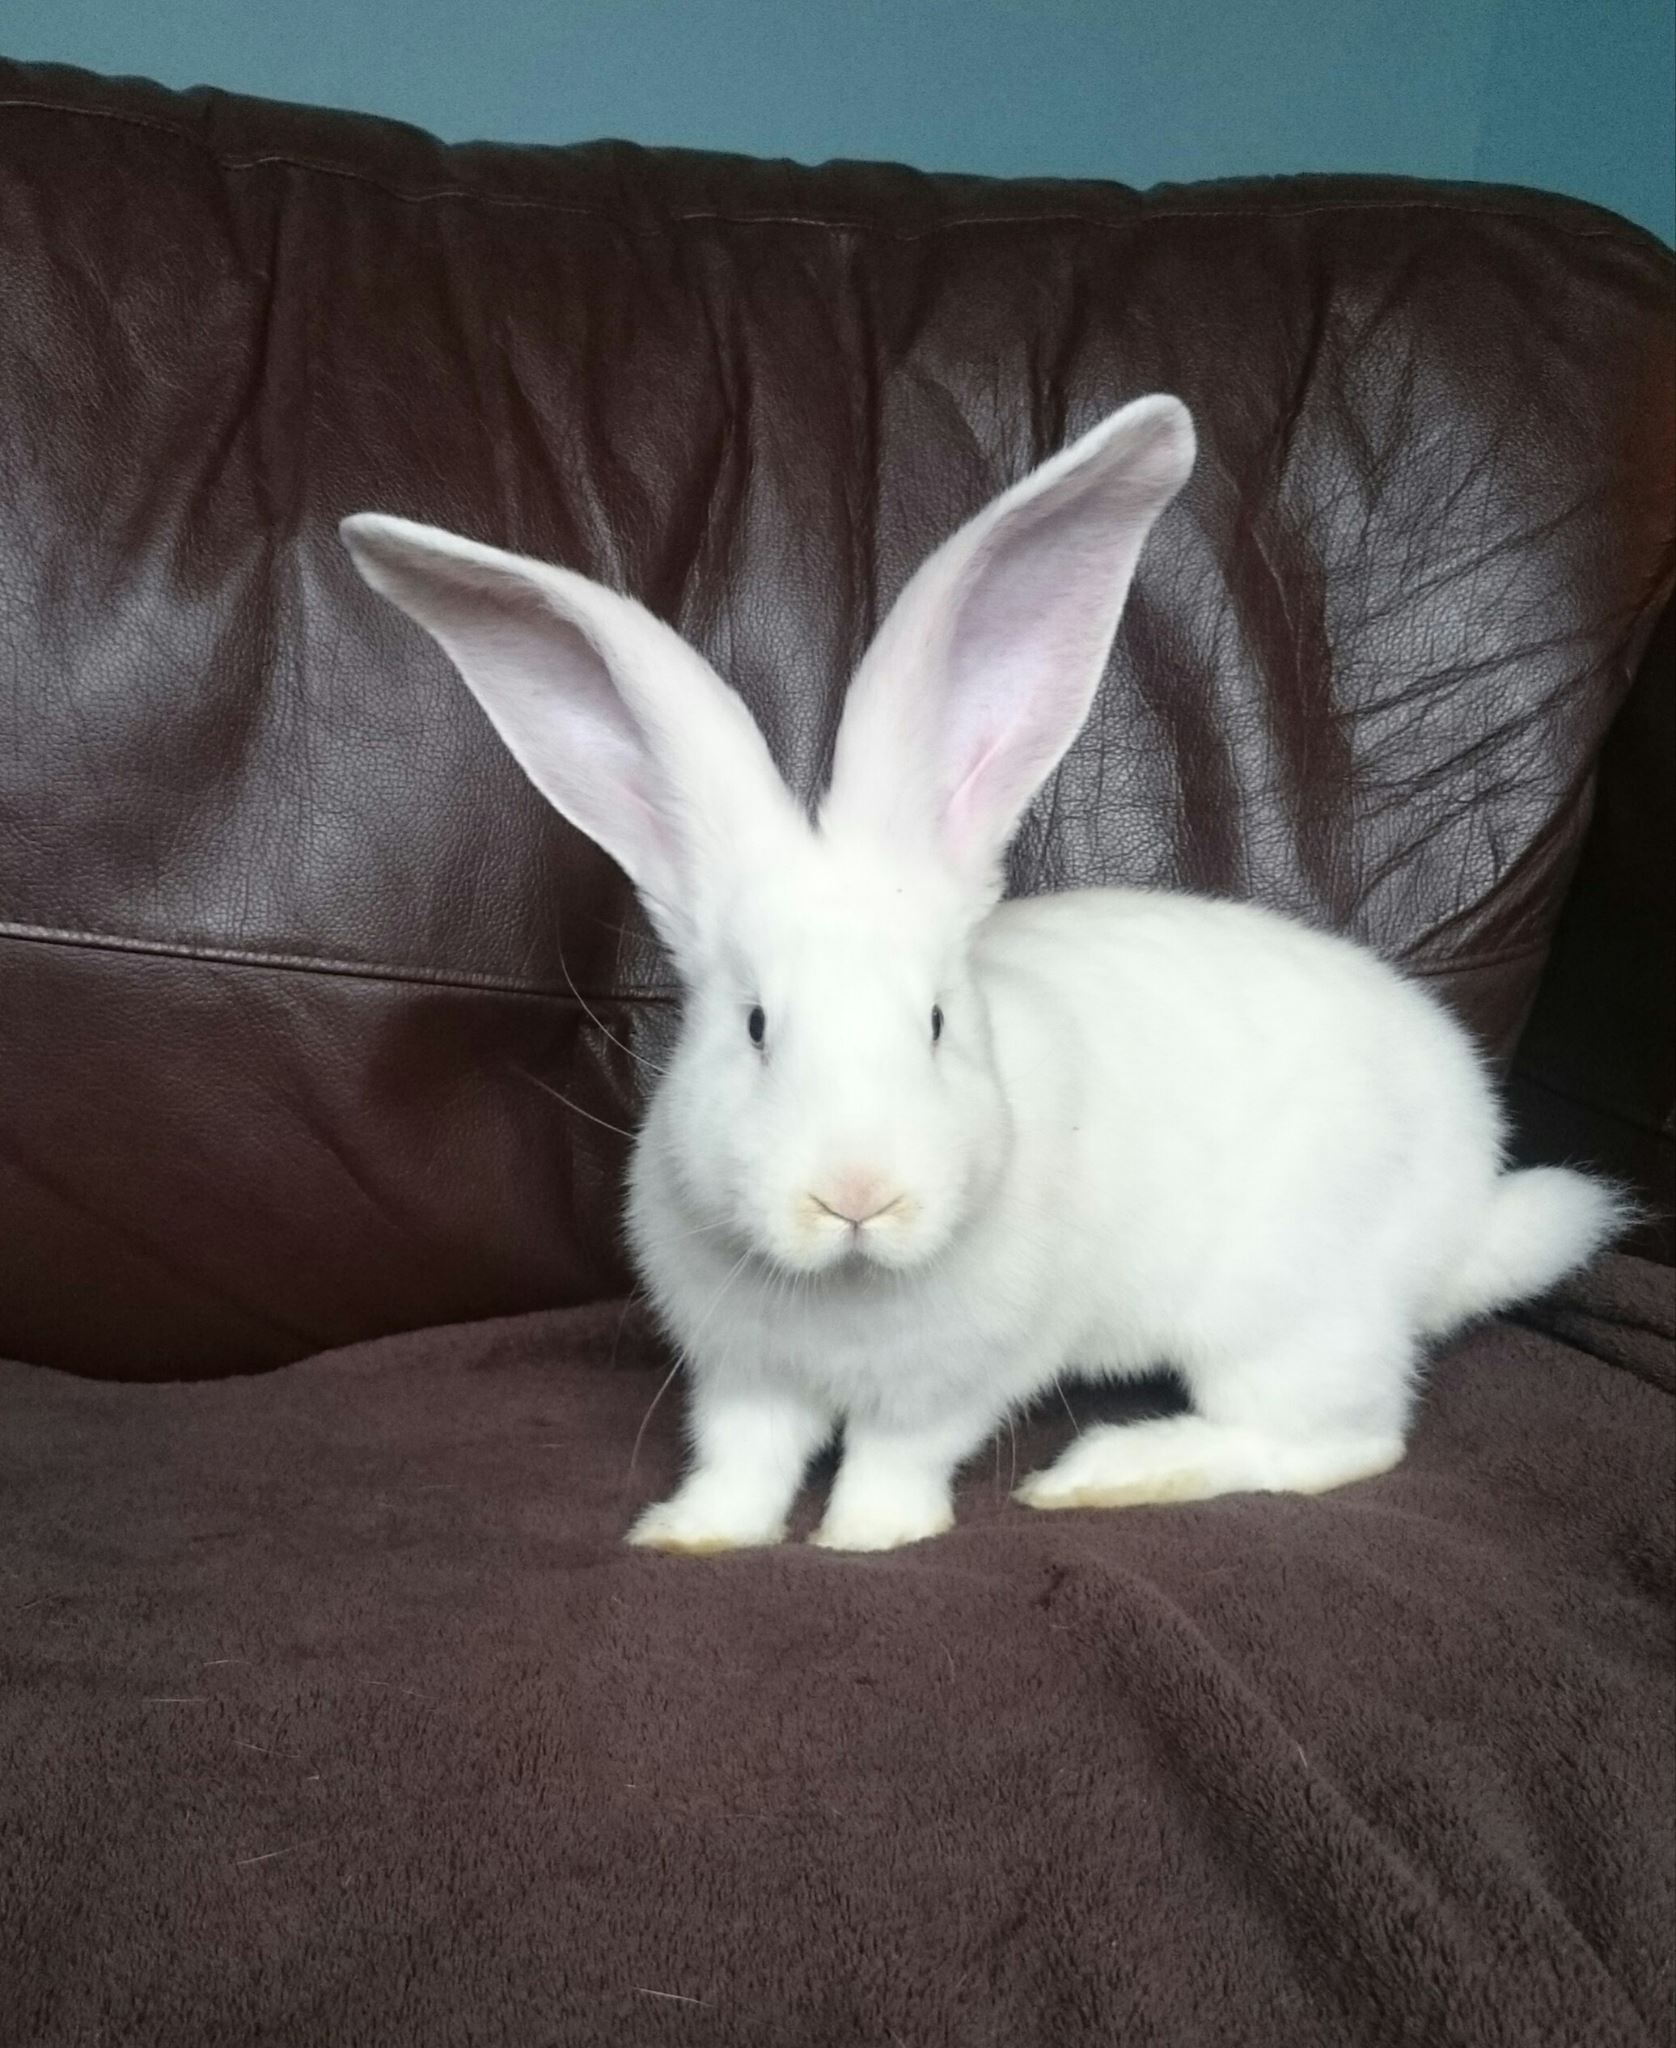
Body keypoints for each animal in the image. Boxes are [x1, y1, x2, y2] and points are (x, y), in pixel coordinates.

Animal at [341, 394, 1622, 1555]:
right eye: (752, 1025)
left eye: (936, 1022)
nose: (856, 1193)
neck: (844, 1297)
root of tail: (1463, 1212)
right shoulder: (740, 1374)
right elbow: (742, 1460)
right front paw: (692, 1536)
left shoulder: (958, 1378)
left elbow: (895, 1455)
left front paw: (866, 1540)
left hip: (1288, 1311)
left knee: (1339, 1440)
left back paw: (1103, 1471)